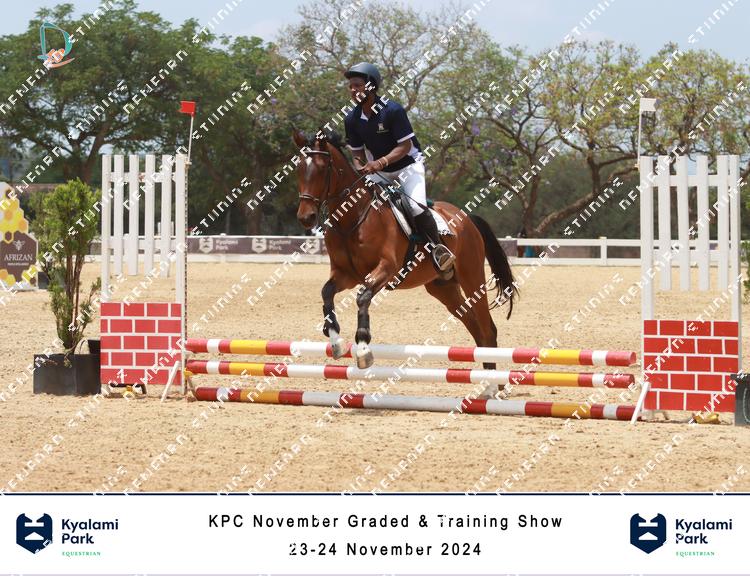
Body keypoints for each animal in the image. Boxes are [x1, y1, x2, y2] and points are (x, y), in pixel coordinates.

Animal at [293, 130, 517, 397]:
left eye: (321, 168)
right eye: (298, 169)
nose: (306, 217)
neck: (353, 216)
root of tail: (466, 218)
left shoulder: (386, 268)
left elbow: (362, 297)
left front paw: (363, 349)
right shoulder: (345, 274)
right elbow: (326, 293)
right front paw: (336, 341)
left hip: (472, 278)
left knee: (487, 329)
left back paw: (494, 388)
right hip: (444, 288)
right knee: (475, 328)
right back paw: (489, 385)